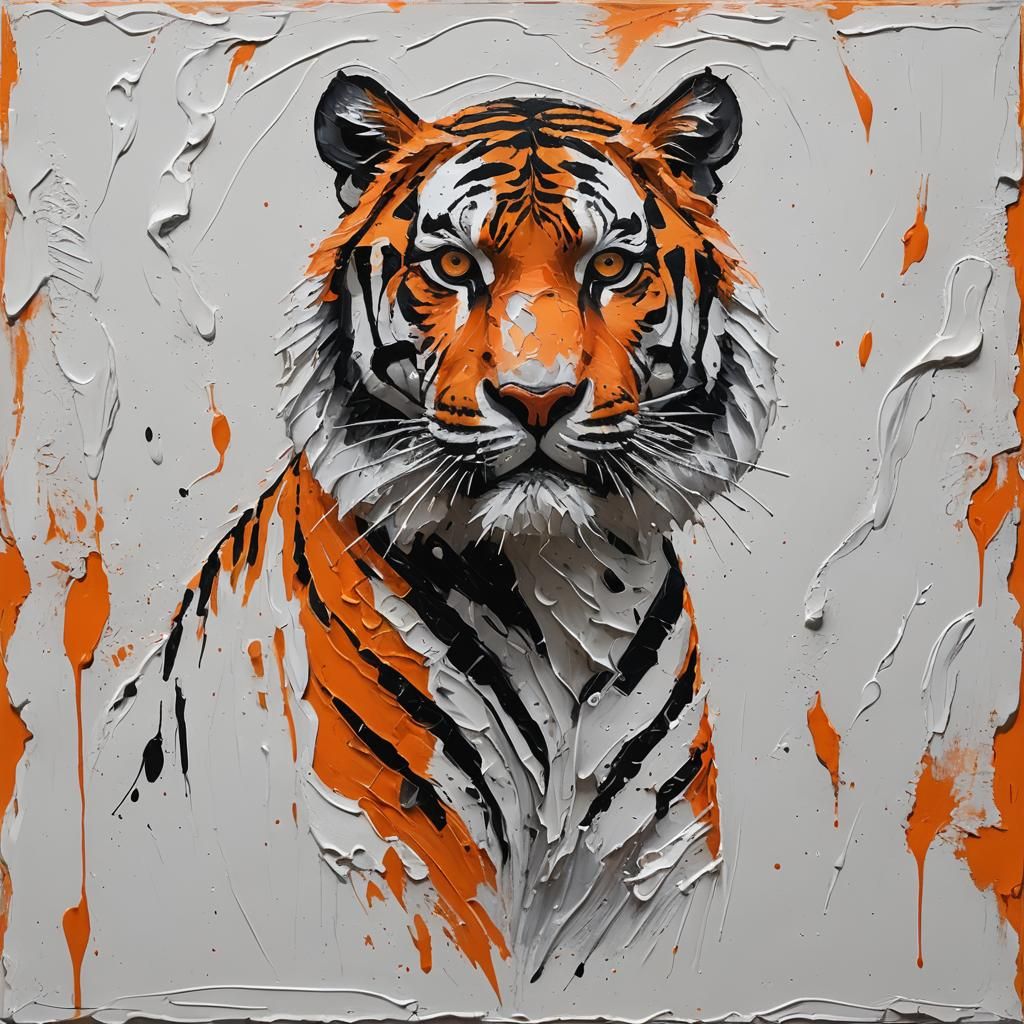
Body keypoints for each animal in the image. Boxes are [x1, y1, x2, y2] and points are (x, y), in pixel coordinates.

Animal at [106, 67, 777, 1001]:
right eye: (455, 265)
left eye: (610, 266)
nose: (538, 397)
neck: (558, 593)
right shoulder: (398, 869)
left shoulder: (648, 882)